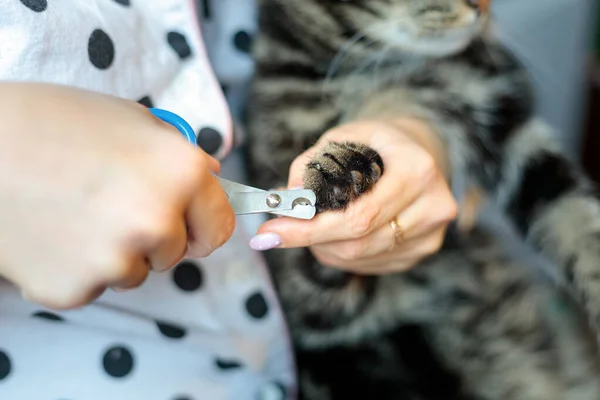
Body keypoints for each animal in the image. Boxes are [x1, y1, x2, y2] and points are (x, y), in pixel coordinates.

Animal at [245, 1, 600, 398]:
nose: (482, 8)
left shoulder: (511, 130)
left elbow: (577, 220)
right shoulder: (309, 298)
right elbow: (314, 256)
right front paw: (339, 167)